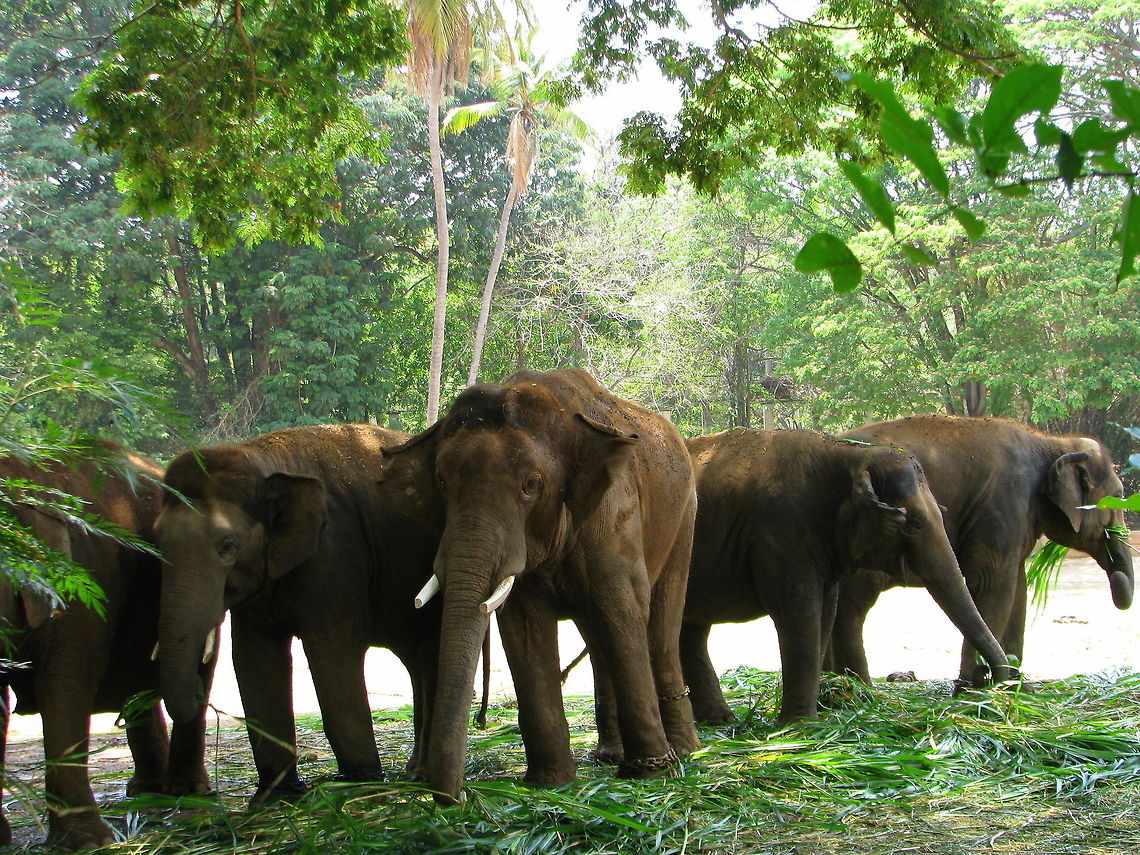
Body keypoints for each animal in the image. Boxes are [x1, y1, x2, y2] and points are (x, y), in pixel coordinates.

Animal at [152, 423, 442, 807]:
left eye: (228, 547)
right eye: (156, 542)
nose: (202, 687)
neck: (262, 461)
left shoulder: (335, 554)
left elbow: (332, 652)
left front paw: (361, 783)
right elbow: (254, 660)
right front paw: (275, 796)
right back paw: (415, 773)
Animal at [381, 368, 699, 804]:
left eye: (531, 484)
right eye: (442, 483)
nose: (451, 798)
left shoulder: (613, 510)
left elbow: (621, 607)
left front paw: (650, 774)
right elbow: (524, 627)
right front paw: (551, 784)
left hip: (684, 517)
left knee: (661, 623)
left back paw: (683, 752)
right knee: (597, 635)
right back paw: (610, 756)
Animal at [679, 428, 1011, 725]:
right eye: (914, 524)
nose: (982, 678)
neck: (848, 453)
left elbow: (825, 613)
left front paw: (814, 717)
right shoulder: (780, 530)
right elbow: (799, 613)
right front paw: (800, 727)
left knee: (691, 630)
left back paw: (719, 720)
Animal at [827, 414, 1134, 686]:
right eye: (1119, 496)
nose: (1117, 579)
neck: (1051, 442)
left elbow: (1017, 589)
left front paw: (1016, 689)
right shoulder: (1002, 503)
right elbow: (992, 582)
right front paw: (976, 693)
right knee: (852, 605)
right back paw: (859, 689)